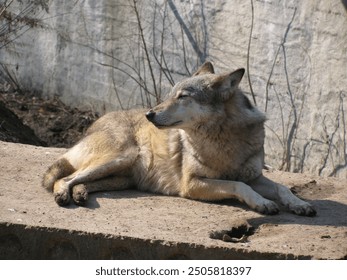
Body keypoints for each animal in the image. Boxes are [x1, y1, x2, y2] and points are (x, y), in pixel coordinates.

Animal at [42, 61, 316, 217]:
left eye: (183, 96)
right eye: (170, 94)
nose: (149, 114)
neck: (222, 137)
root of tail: (92, 125)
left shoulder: (255, 176)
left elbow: (281, 187)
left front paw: (299, 204)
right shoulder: (192, 183)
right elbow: (239, 185)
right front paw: (262, 204)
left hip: (122, 176)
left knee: (79, 180)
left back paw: (80, 194)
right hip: (121, 157)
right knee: (64, 178)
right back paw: (63, 195)